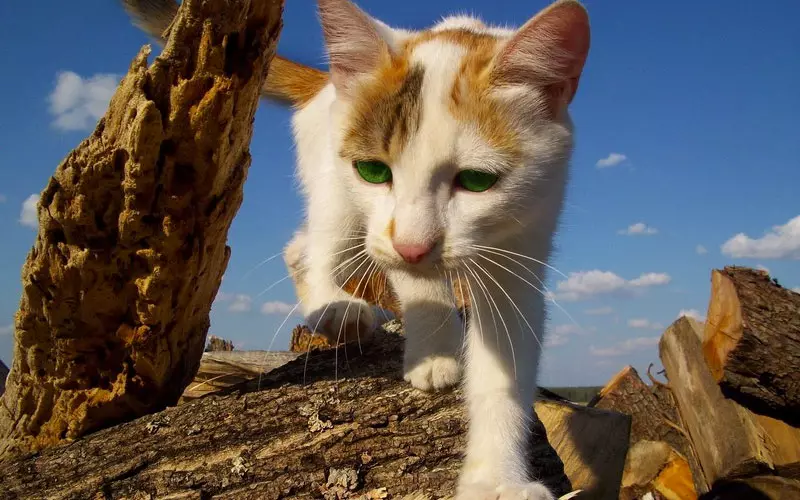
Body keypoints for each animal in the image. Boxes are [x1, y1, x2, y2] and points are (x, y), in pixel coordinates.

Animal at [123, 1, 588, 498]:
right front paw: (435, 353)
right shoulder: (382, 231)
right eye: (373, 171)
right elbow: (416, 282)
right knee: (316, 247)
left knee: (302, 247)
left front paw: (497, 479)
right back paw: (335, 306)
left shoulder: (522, 246)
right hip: (337, 195)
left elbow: (502, 372)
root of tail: (327, 82)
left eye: (478, 181)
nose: (413, 246)